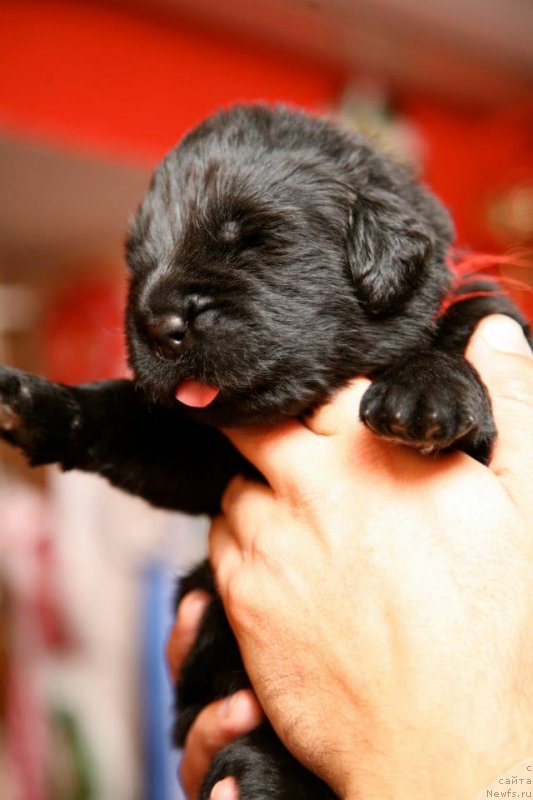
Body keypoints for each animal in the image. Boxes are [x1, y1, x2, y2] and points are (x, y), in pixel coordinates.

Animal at [0, 106, 528, 800]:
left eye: (250, 240)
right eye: (139, 259)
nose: (158, 324)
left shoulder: (490, 327)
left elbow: (460, 339)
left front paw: (424, 389)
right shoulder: (201, 455)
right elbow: (125, 421)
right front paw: (32, 403)